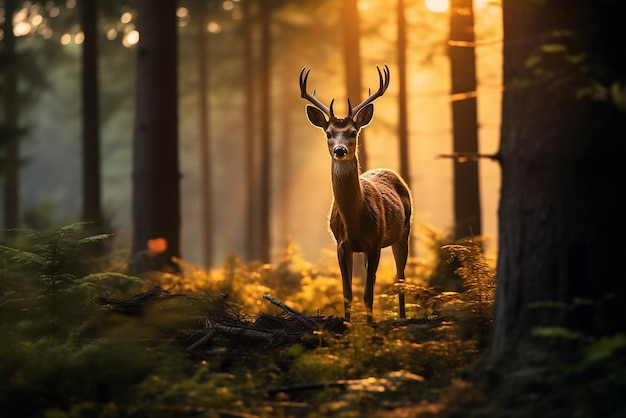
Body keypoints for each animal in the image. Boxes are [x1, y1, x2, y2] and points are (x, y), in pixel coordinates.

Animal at [300, 64, 412, 324]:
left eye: (352, 132)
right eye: (329, 133)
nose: (340, 150)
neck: (355, 221)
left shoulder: (375, 242)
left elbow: (368, 293)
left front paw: (370, 325)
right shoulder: (342, 245)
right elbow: (347, 293)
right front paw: (347, 324)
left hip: (404, 231)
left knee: (401, 277)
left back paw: (402, 317)